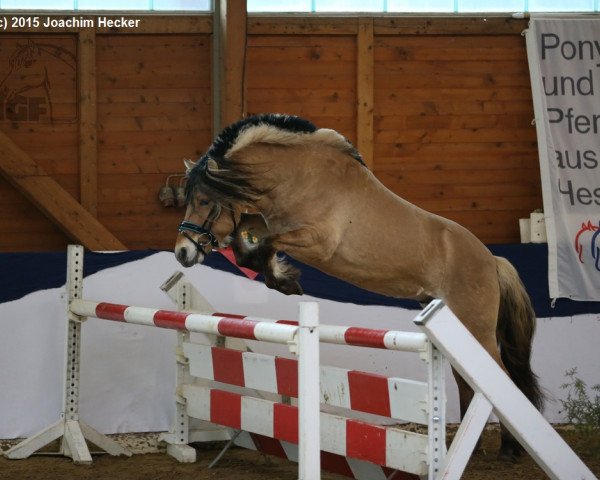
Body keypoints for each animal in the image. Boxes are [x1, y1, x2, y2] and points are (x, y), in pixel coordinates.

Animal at [173, 113, 544, 462]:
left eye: (204, 201)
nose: (182, 252)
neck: (298, 177)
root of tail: (491, 260)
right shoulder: (267, 222)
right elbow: (246, 245)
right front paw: (282, 276)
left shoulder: (316, 242)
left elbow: (262, 247)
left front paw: (286, 280)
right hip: (457, 332)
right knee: (469, 384)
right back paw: (468, 447)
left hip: (477, 330)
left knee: (501, 381)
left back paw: (510, 449)